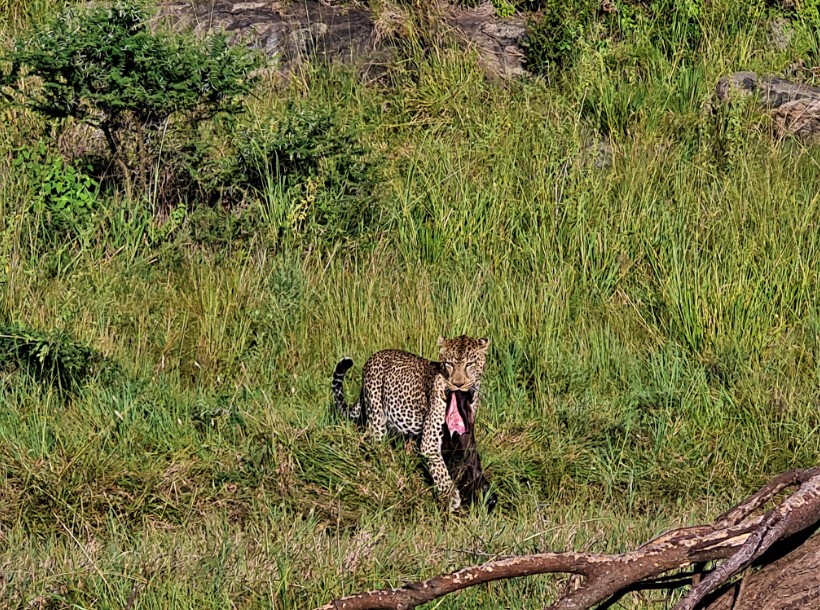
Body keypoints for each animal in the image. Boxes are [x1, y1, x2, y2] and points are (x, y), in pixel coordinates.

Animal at [332, 334, 490, 510]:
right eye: (449, 364)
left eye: (470, 364)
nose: (458, 384)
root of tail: (374, 355)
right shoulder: (430, 443)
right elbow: (440, 468)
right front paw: (450, 496)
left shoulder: (464, 435)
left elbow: (468, 460)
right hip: (377, 418)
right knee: (376, 446)